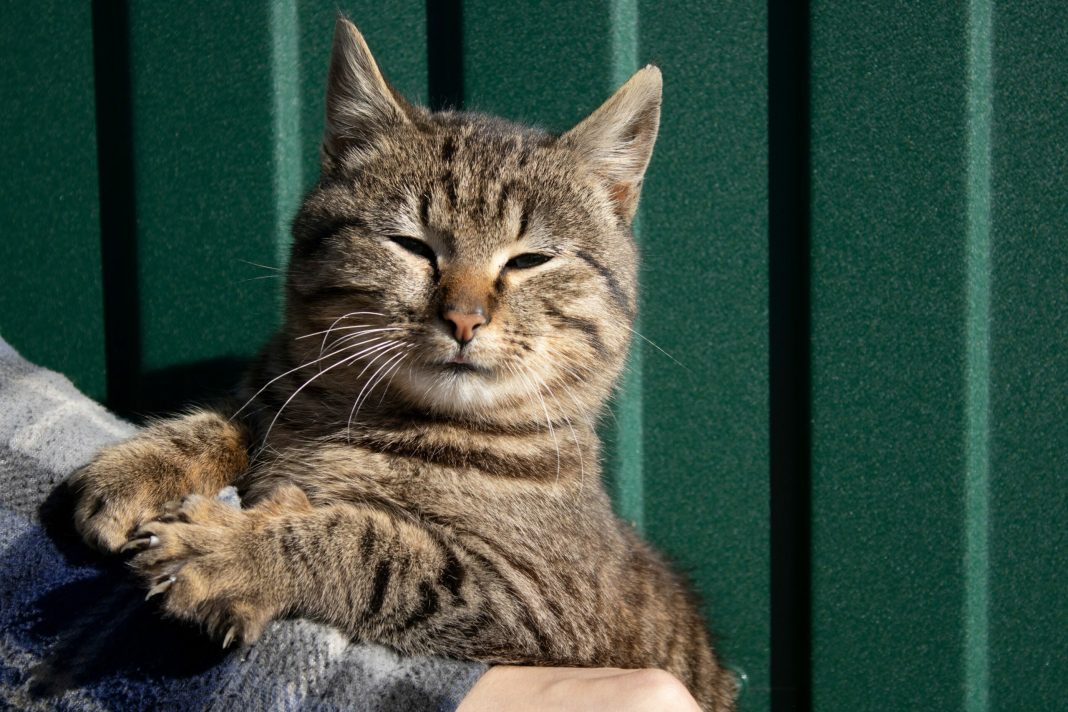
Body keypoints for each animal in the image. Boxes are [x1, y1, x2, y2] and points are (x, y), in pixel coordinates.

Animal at [64, 16, 734, 712]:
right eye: (412, 245)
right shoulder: (281, 389)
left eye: (529, 261)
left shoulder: (534, 599)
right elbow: (235, 420)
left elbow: (369, 545)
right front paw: (142, 465)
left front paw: (230, 552)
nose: (464, 318)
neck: (377, 417)